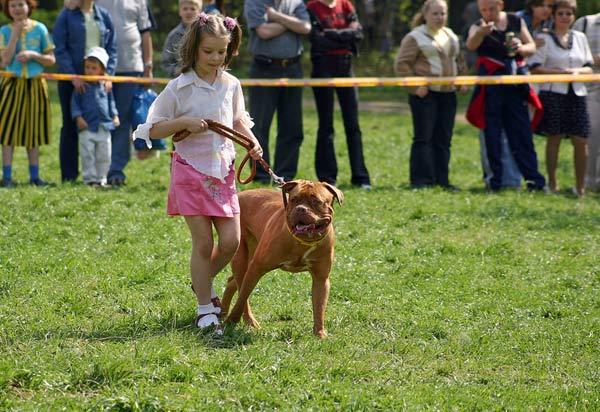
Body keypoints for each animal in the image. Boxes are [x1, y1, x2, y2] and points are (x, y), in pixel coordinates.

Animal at [220, 180, 342, 338]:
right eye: (294, 199)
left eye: (316, 201)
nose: (300, 209)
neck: (303, 242)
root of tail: (239, 194)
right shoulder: (256, 268)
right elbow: (242, 298)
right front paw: (231, 321)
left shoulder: (321, 279)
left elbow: (319, 307)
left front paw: (320, 334)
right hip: (242, 260)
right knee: (242, 291)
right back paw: (247, 321)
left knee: (231, 282)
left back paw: (222, 312)